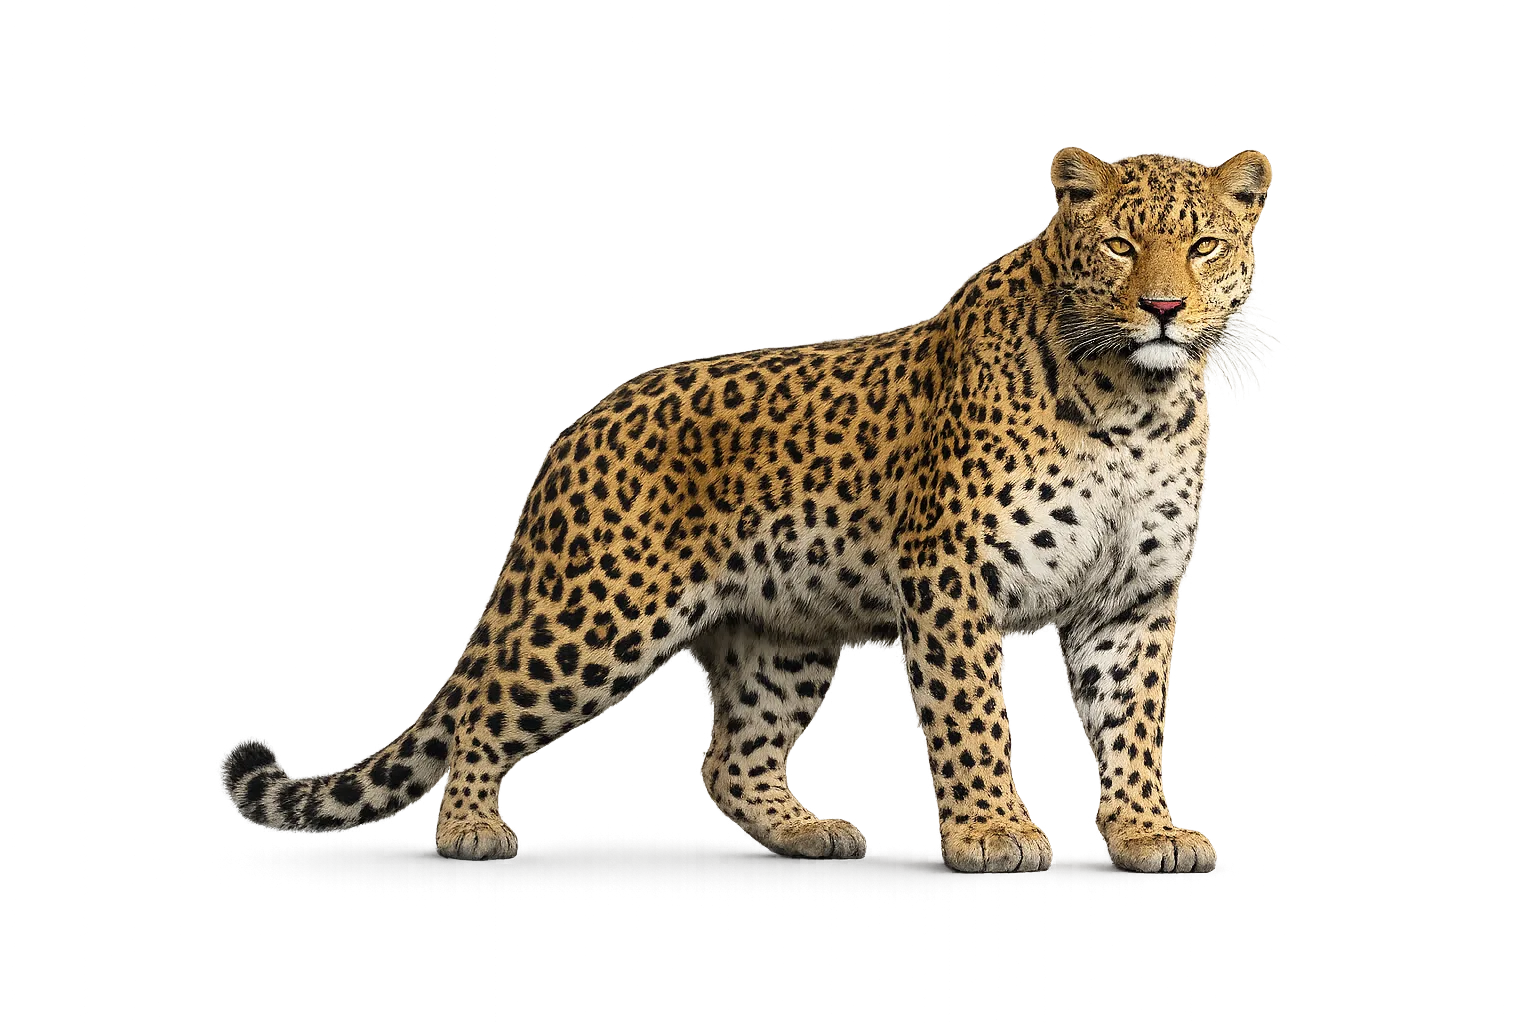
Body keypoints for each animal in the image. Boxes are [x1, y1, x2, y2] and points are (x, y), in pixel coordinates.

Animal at [225, 146, 1272, 873]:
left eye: (1204, 244)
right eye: (1121, 245)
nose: (1165, 308)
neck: (1135, 401)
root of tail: (574, 432)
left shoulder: (1132, 599)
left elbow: (1134, 723)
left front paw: (1144, 831)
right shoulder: (952, 577)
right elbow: (975, 711)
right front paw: (991, 830)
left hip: (781, 633)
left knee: (730, 759)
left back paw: (807, 830)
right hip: (600, 611)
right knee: (486, 706)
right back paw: (471, 827)